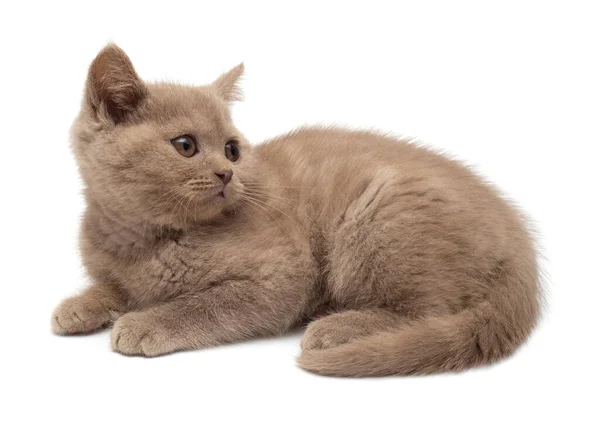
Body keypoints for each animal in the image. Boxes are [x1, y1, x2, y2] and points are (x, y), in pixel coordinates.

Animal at [50, 44, 540, 378]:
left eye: (231, 149)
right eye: (186, 146)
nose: (227, 173)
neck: (146, 240)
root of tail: (521, 245)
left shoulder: (283, 277)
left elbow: (204, 303)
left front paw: (148, 322)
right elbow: (115, 287)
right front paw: (79, 305)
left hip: (374, 218)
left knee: (429, 311)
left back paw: (338, 327)